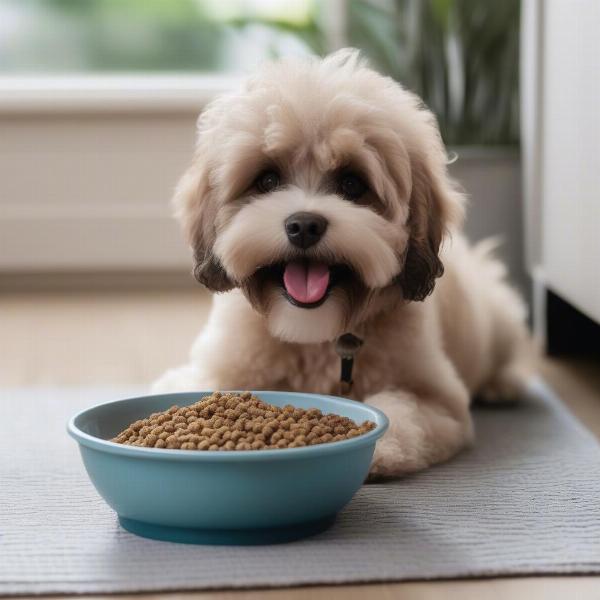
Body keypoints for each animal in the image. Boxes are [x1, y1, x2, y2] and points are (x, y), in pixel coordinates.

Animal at [152, 49, 532, 478]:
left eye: (352, 183)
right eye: (267, 180)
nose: (304, 225)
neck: (314, 334)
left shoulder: (440, 401)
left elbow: (402, 411)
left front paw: (378, 450)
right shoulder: (218, 369)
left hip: (498, 319)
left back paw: (502, 384)